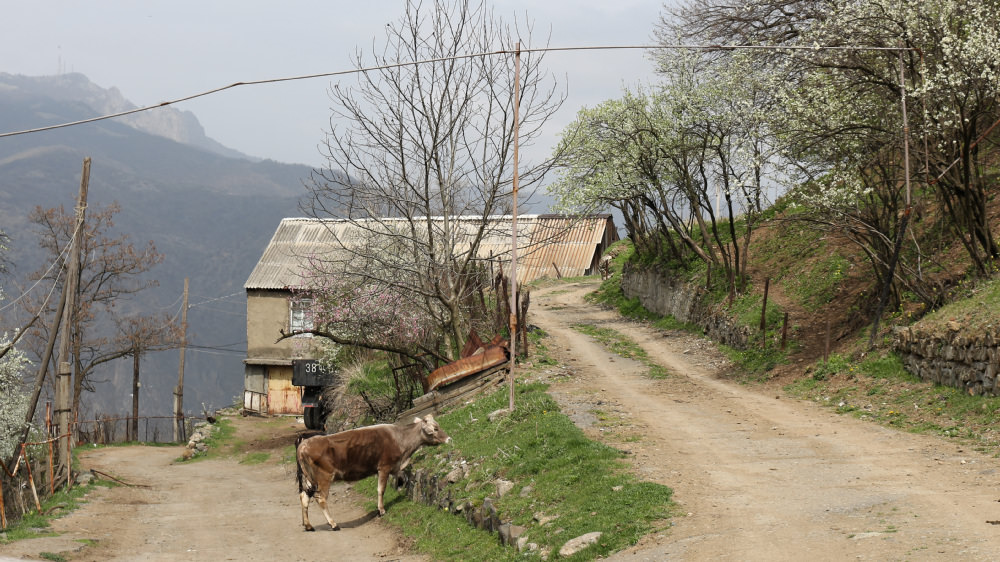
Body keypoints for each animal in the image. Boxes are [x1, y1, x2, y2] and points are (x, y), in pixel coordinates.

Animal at [294, 412, 452, 528]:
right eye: (435, 428)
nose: (449, 439)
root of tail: (304, 443)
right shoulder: (384, 467)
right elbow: (381, 489)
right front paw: (381, 510)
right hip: (324, 477)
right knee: (321, 499)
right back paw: (333, 524)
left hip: (310, 479)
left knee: (304, 497)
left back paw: (308, 525)